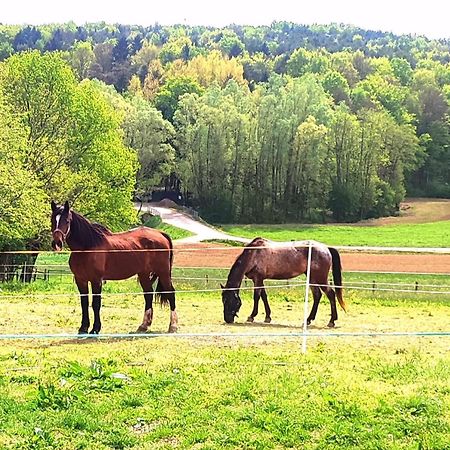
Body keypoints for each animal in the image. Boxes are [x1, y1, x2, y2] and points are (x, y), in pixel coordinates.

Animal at [51, 201, 178, 334]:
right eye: (52, 220)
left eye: (67, 221)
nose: (57, 243)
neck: (87, 248)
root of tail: (161, 234)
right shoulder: (81, 280)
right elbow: (84, 303)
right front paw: (83, 327)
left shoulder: (96, 280)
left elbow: (96, 303)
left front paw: (95, 329)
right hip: (144, 274)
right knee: (148, 295)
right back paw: (144, 326)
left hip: (163, 273)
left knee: (171, 293)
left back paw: (173, 326)